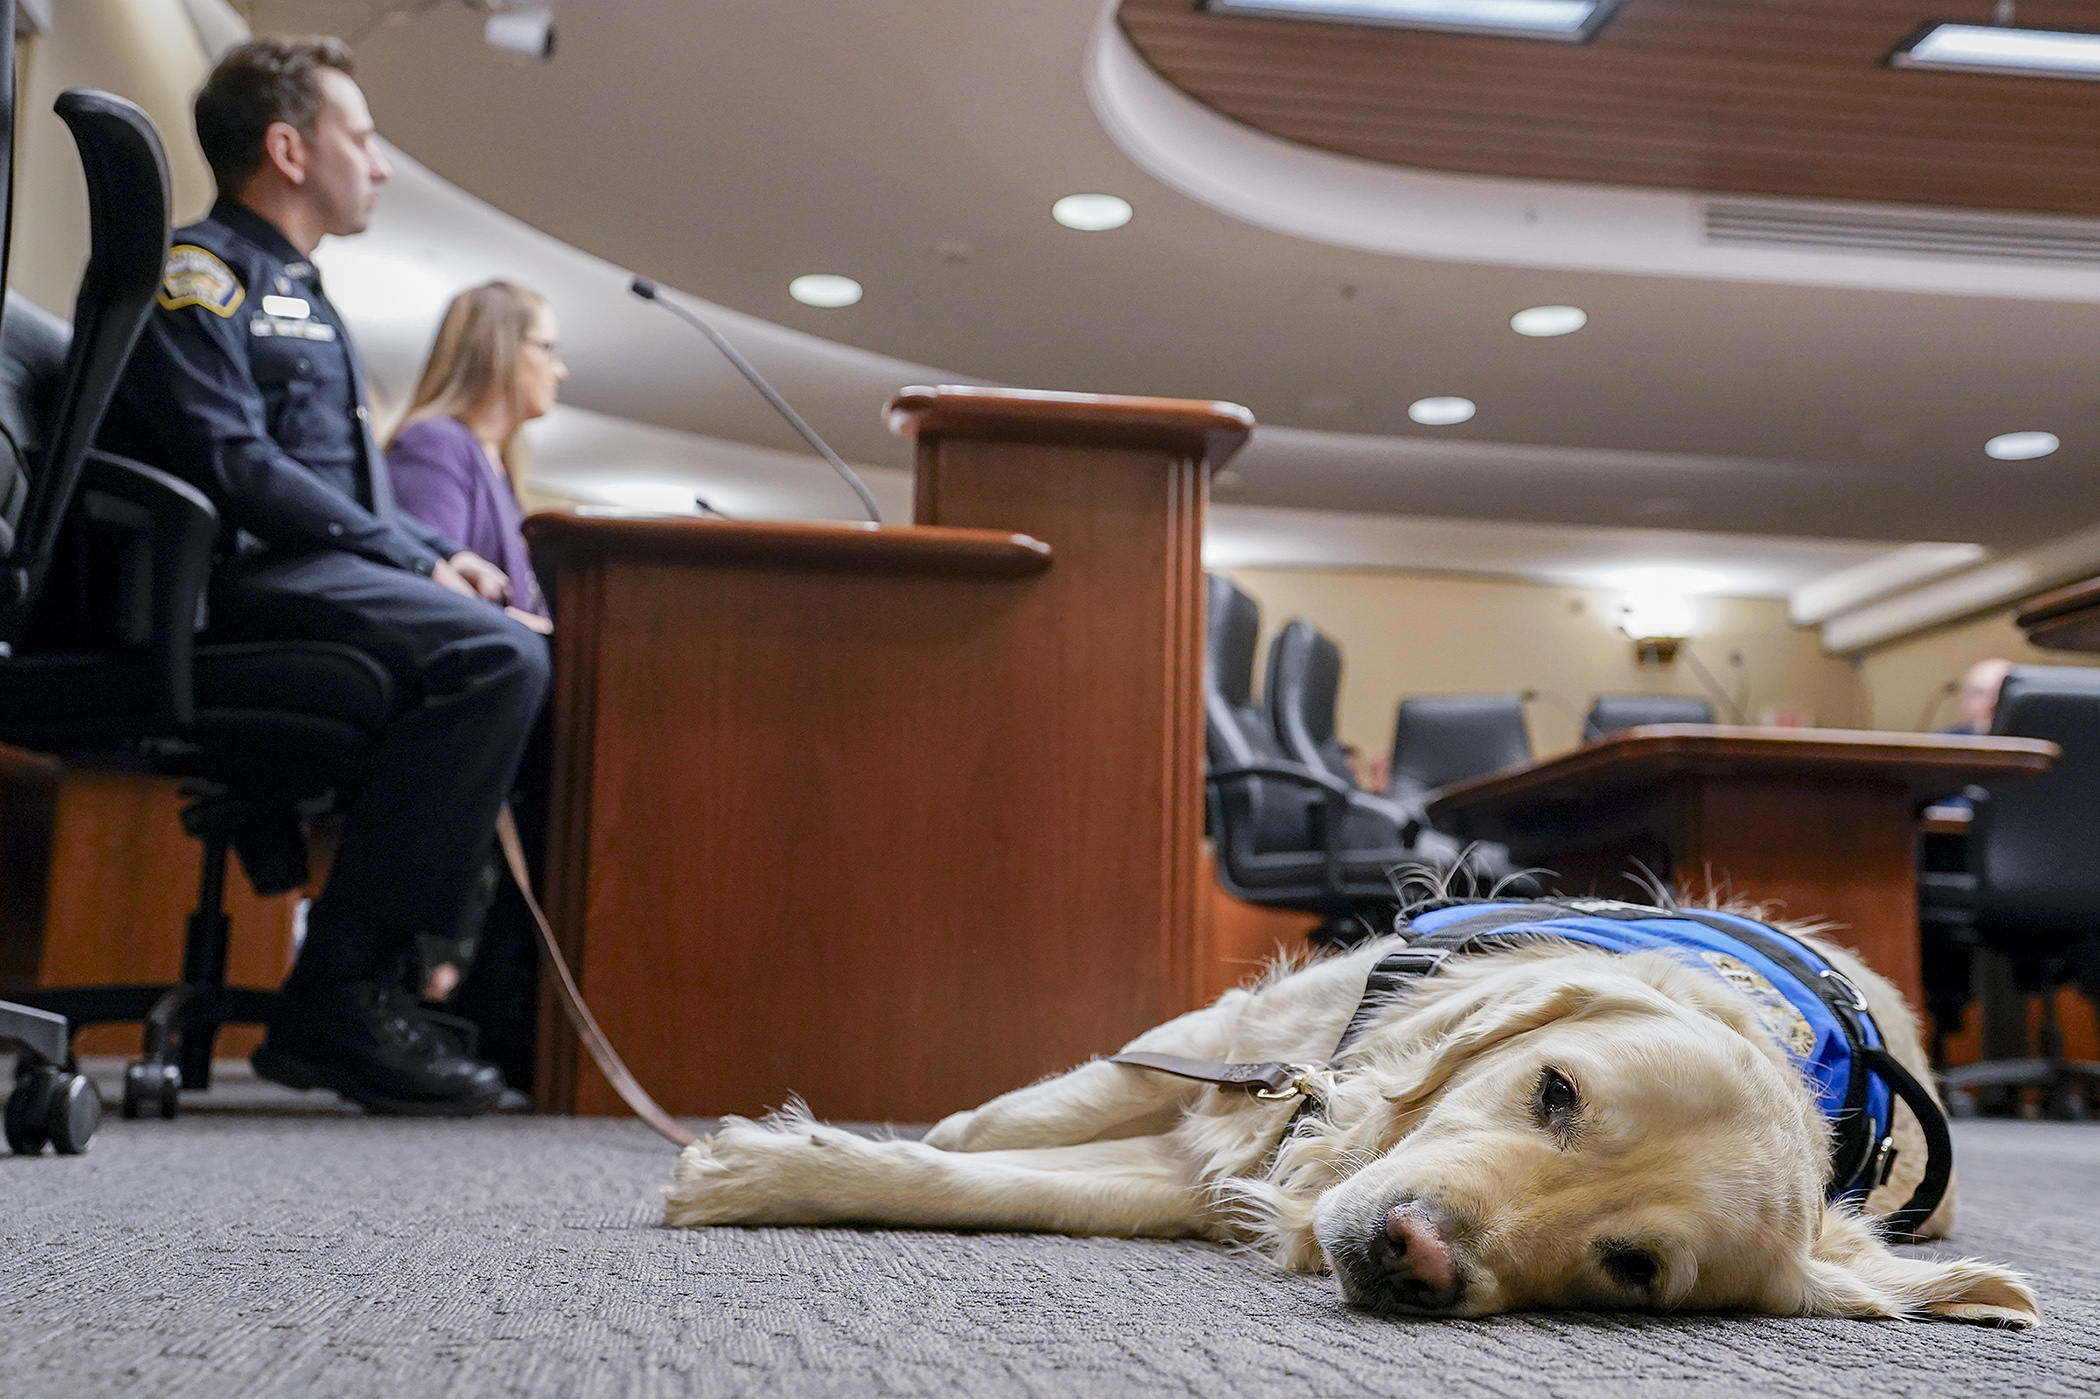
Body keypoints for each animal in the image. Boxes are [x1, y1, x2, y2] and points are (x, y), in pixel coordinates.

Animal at [659, 911, 2032, 1327]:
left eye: (1634, 1267)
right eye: (1556, 1090)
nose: (1415, 1254)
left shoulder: (1213, 1175)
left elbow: (999, 1186)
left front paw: (764, 1172)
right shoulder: (1245, 1040)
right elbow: (1005, 1125)